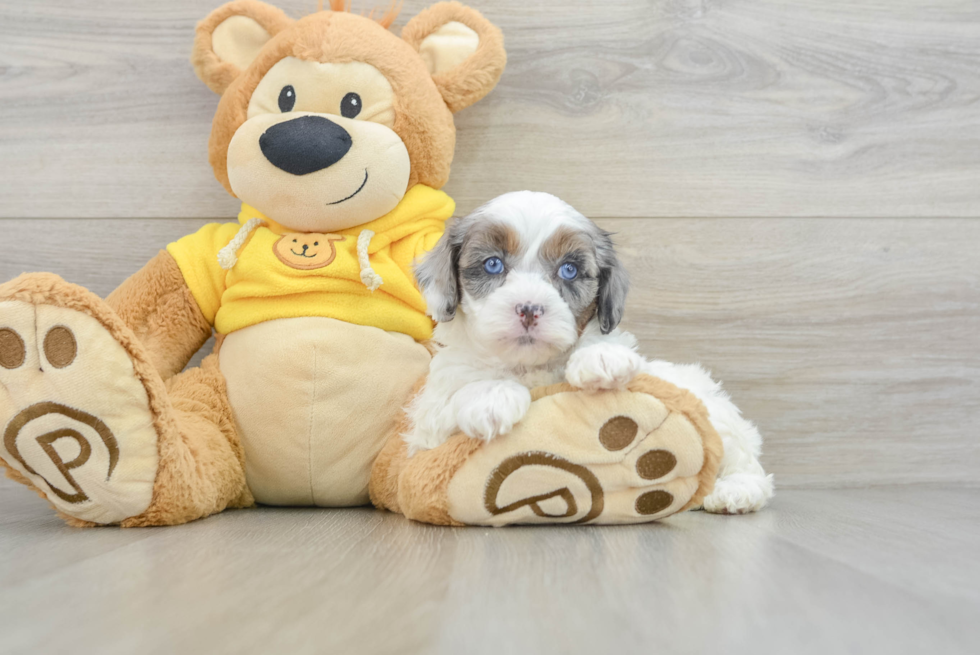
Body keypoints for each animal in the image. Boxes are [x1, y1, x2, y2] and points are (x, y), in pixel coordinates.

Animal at [406, 192, 772, 516]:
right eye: (493, 264)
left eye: (569, 270)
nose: (529, 308)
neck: (528, 367)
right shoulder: (427, 429)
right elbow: (451, 404)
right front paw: (492, 397)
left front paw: (600, 357)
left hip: (716, 412)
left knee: (744, 460)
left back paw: (734, 492)